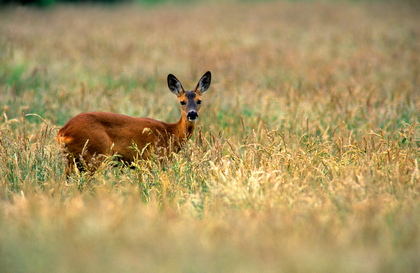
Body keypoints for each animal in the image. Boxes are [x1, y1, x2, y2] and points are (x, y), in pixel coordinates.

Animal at [55, 70, 212, 174]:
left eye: (199, 101)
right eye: (182, 102)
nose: (192, 114)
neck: (170, 134)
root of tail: (63, 132)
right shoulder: (151, 159)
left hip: (73, 160)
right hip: (95, 155)